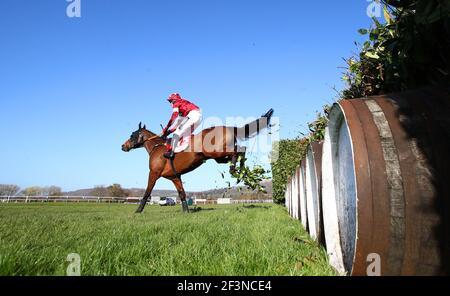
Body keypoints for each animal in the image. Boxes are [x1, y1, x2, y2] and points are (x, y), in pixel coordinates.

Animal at [121, 108, 272, 213]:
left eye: (132, 135)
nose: (123, 146)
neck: (157, 148)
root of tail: (228, 127)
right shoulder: (175, 177)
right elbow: (182, 193)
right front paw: (186, 211)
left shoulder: (154, 173)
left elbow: (147, 191)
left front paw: (138, 210)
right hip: (218, 157)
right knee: (241, 151)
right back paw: (242, 172)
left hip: (216, 152)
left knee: (239, 150)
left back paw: (235, 170)